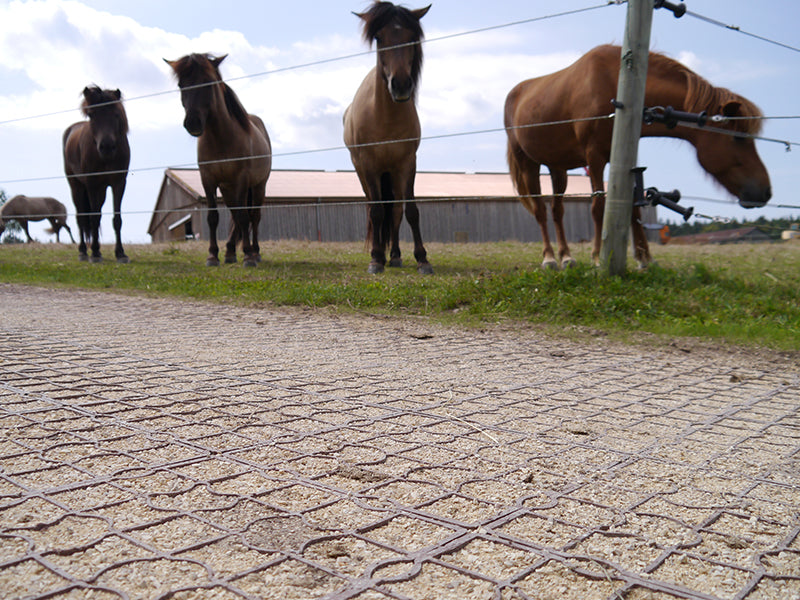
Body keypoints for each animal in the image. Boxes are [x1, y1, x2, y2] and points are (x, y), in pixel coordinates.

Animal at [63, 86, 130, 263]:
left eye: (116, 114)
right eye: (92, 114)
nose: (106, 146)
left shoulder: (119, 183)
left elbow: (116, 219)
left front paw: (120, 253)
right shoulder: (92, 184)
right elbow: (93, 218)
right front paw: (94, 252)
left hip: (101, 190)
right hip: (77, 186)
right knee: (81, 217)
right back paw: (83, 251)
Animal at [165, 53, 271, 267]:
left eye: (208, 82)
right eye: (181, 84)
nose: (193, 123)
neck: (220, 138)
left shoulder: (241, 179)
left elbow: (244, 216)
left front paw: (248, 256)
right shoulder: (208, 180)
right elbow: (213, 217)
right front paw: (213, 255)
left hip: (258, 186)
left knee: (253, 217)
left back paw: (255, 252)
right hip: (227, 188)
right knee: (235, 217)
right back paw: (230, 252)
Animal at [343, 1, 433, 274]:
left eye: (411, 36)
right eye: (378, 37)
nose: (401, 85)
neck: (384, 118)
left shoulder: (407, 163)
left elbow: (410, 210)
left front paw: (422, 259)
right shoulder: (369, 166)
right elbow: (376, 212)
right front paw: (375, 259)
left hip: (391, 173)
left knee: (394, 210)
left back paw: (393, 255)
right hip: (364, 172)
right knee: (378, 208)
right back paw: (382, 255)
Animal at [505, 44, 771, 270]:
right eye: (739, 138)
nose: (765, 192)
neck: (613, 85)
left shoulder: (625, 159)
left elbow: (633, 207)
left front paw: (645, 258)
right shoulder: (595, 157)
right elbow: (598, 207)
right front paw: (597, 257)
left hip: (557, 167)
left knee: (556, 211)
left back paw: (566, 257)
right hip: (528, 163)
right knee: (540, 210)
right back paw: (549, 258)